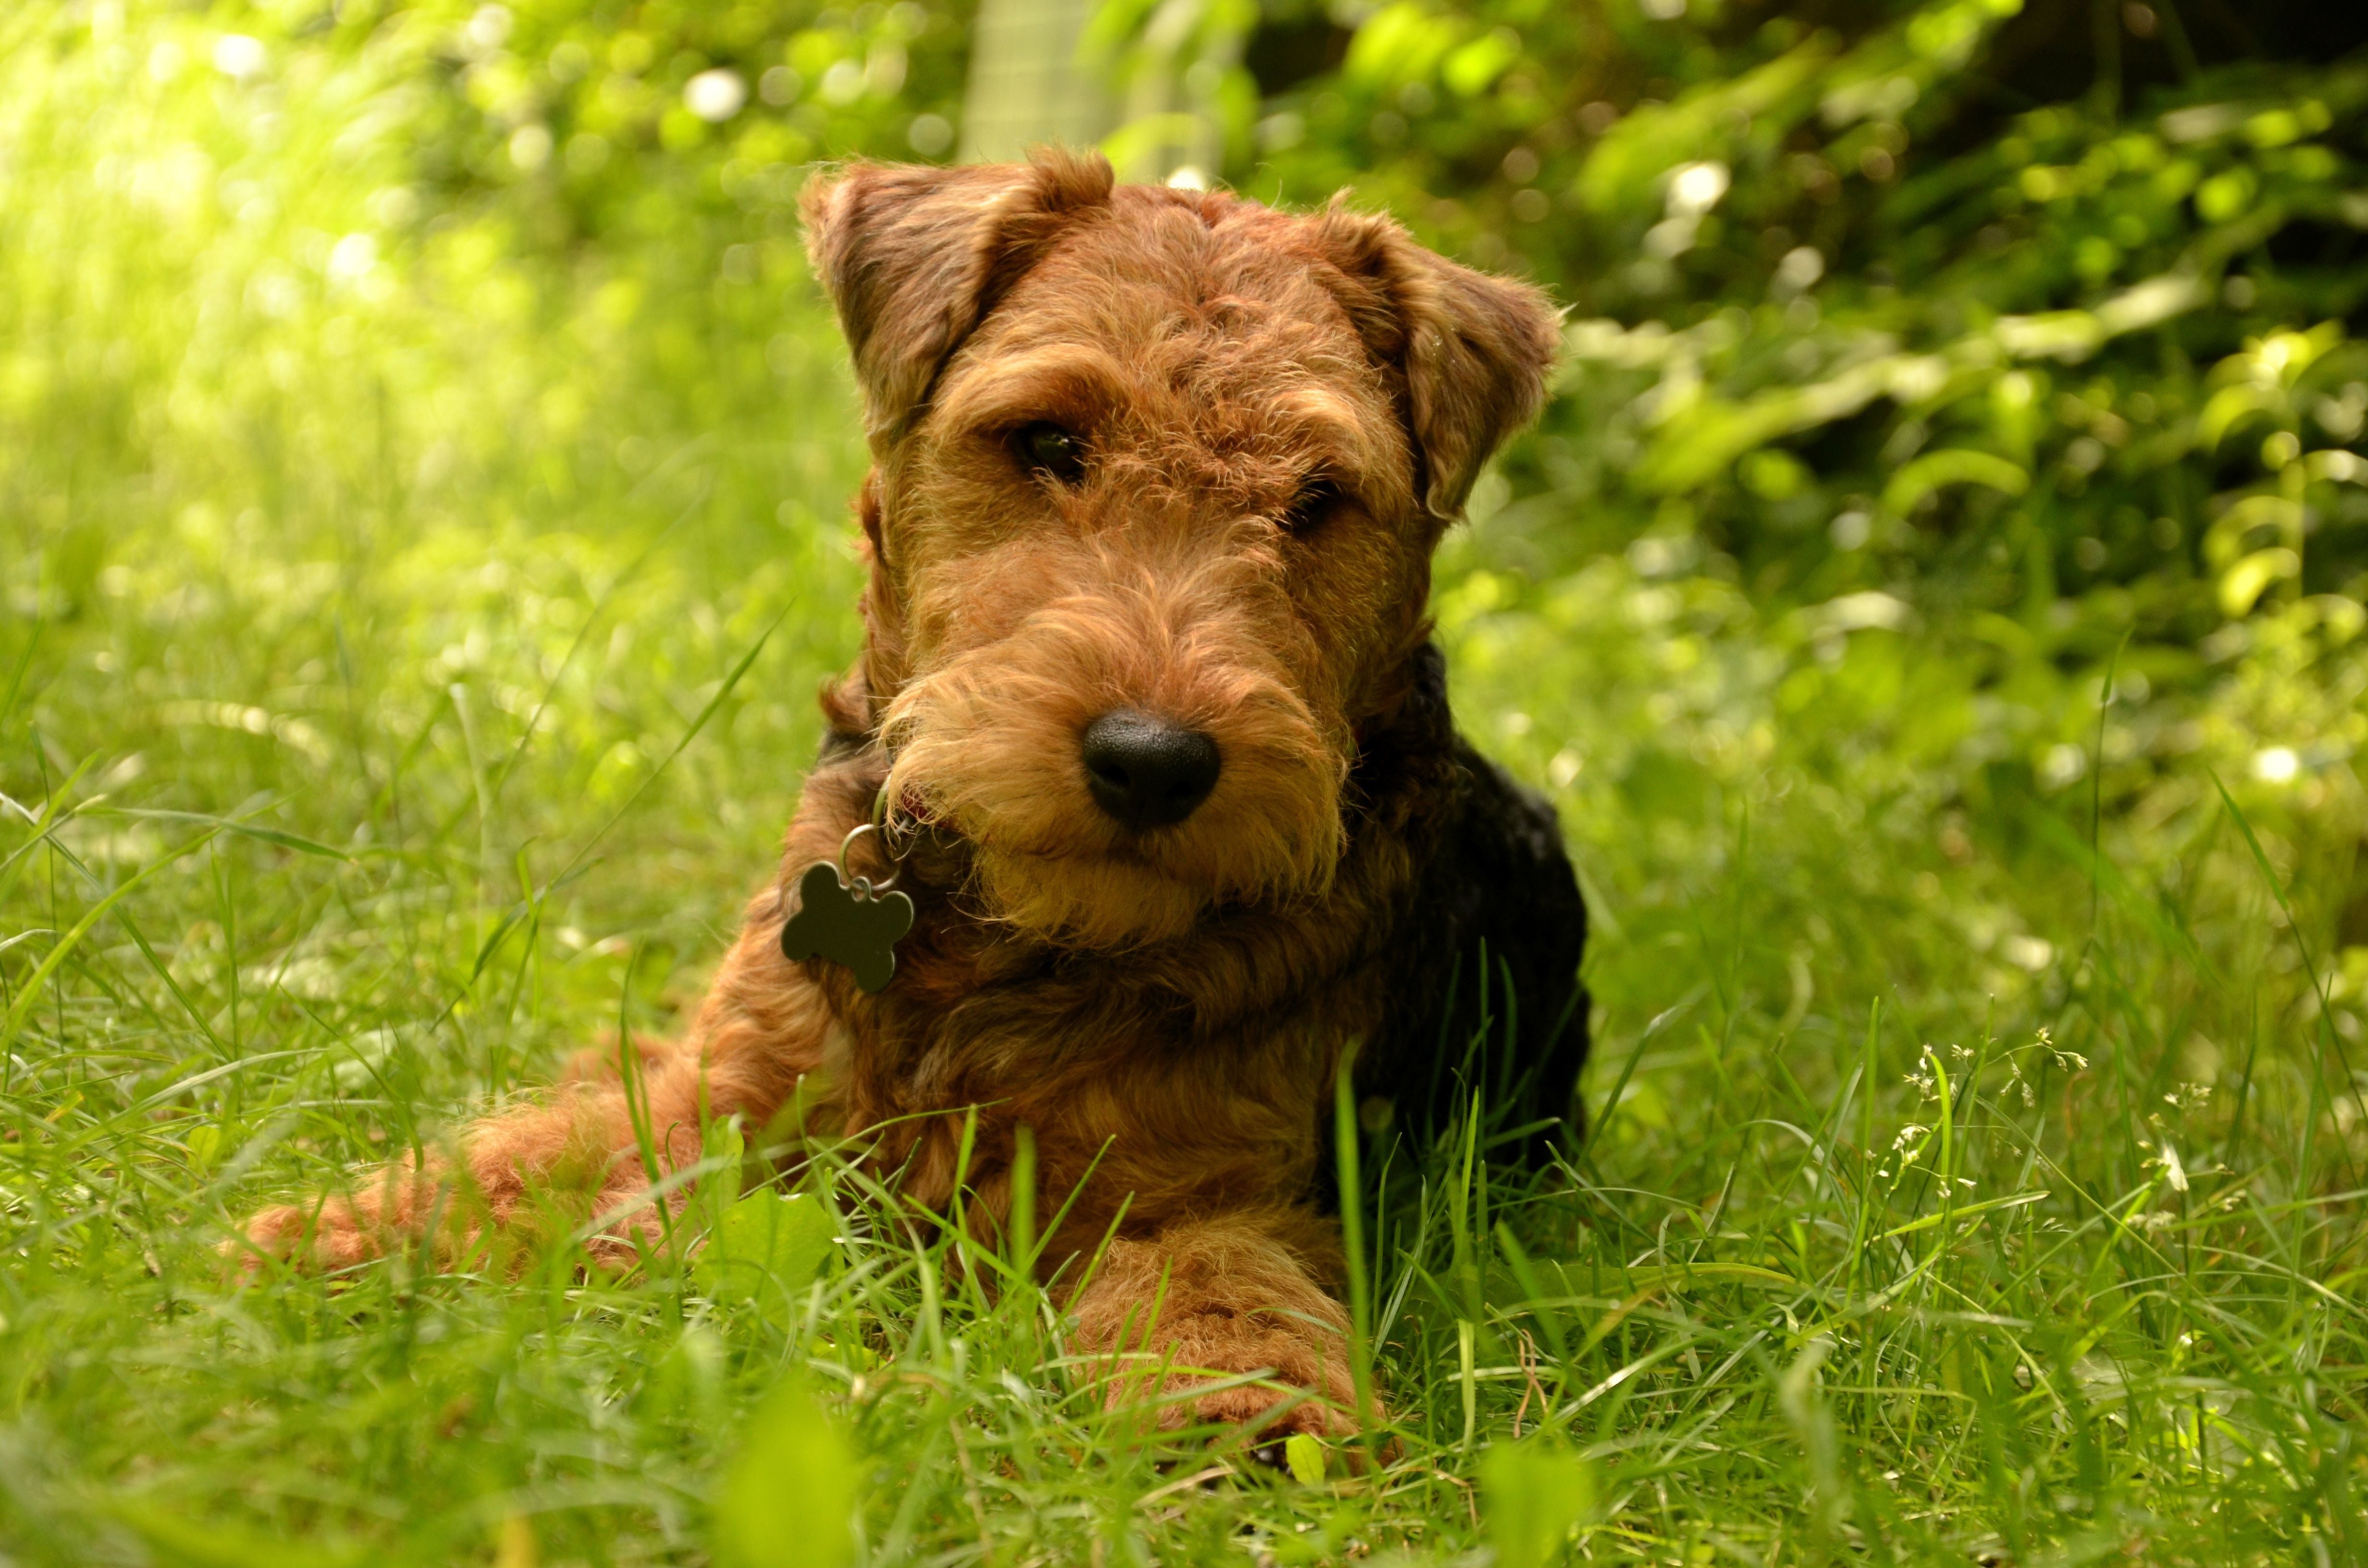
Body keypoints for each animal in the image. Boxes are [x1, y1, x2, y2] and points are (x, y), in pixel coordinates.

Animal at [240, 150, 1581, 1449]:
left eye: (1318, 499)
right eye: (1048, 441)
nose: (1151, 761)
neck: (1005, 945)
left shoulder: (1203, 1188)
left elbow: (1220, 1301)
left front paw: (1255, 1432)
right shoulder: (734, 1103)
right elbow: (528, 1168)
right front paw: (320, 1243)